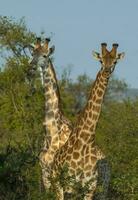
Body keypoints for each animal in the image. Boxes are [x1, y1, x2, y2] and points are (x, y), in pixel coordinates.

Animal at [51, 43, 125, 199]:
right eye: (101, 61)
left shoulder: (90, 188)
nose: (107, 71)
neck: (86, 142)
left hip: (102, 187)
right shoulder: (70, 186)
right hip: (58, 186)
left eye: (115, 61)